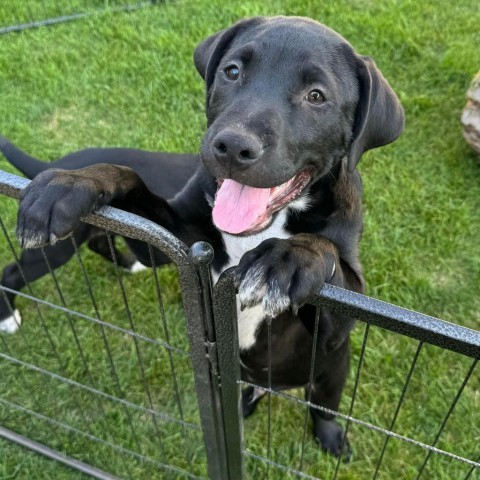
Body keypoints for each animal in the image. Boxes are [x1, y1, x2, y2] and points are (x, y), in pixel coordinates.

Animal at [8, 16, 404, 456]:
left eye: (316, 96)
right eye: (232, 71)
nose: (232, 146)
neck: (264, 226)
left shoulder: (342, 321)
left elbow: (326, 252)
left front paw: (287, 259)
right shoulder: (175, 241)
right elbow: (129, 179)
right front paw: (71, 185)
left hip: (332, 372)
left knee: (324, 407)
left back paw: (330, 436)